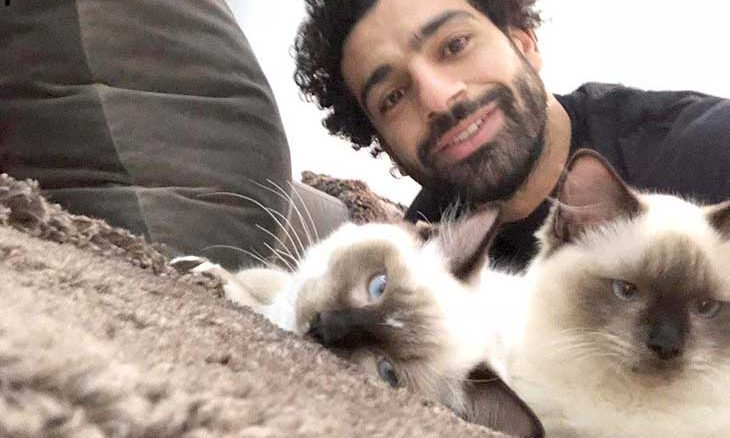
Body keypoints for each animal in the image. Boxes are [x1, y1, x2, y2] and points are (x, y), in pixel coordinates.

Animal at [174, 202, 544, 438]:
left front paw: (207, 277)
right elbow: (260, 276)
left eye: (387, 372)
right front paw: (192, 264)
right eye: (379, 286)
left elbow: (246, 293)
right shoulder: (284, 283)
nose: (323, 327)